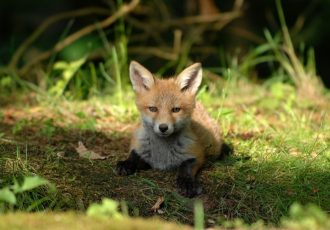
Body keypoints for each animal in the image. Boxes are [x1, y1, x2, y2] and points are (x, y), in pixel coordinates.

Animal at [116, 60, 232, 197]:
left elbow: (185, 168)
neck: (162, 154)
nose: (163, 127)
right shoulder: (141, 150)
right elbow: (134, 155)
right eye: (153, 109)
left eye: (176, 109)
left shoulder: (196, 155)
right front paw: (126, 163)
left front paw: (186, 183)